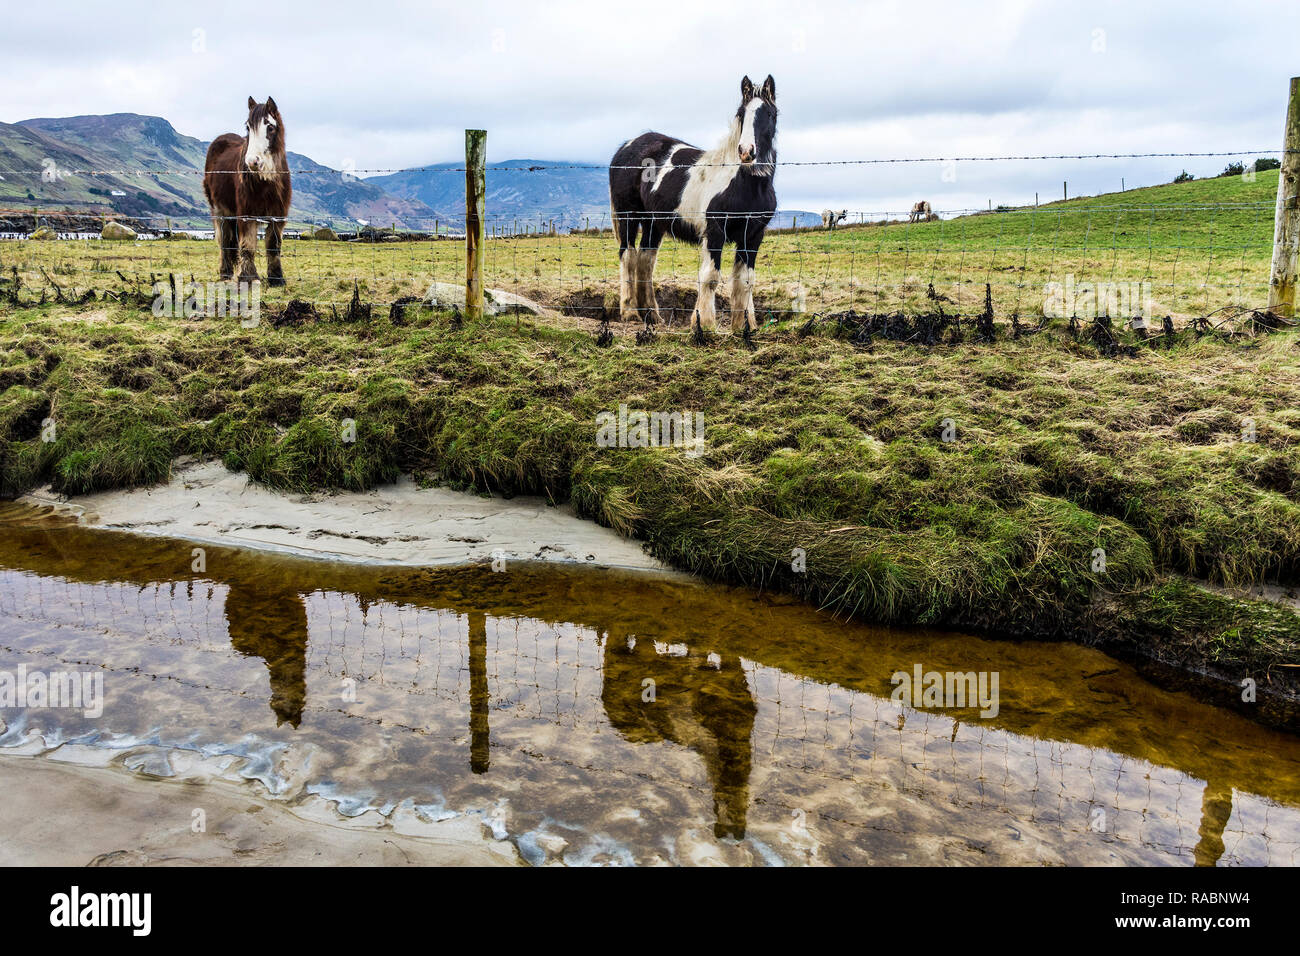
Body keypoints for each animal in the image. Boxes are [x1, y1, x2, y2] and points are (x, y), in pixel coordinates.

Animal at [203, 97, 292, 286]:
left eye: (270, 127)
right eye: (248, 128)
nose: (252, 161)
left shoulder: (278, 215)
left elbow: (273, 245)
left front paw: (276, 278)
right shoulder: (246, 214)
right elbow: (248, 245)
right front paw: (249, 278)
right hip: (220, 211)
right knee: (224, 241)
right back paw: (226, 273)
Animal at [609, 74, 778, 334]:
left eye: (769, 114)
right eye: (741, 113)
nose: (746, 151)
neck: (744, 182)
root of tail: (627, 146)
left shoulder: (753, 235)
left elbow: (745, 281)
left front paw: (744, 325)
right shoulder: (715, 231)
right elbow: (710, 277)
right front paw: (704, 324)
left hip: (653, 223)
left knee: (645, 261)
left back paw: (652, 315)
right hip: (628, 215)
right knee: (627, 255)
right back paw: (629, 312)